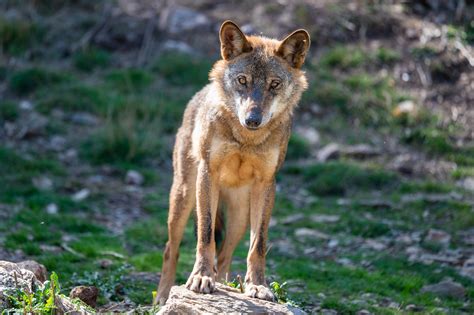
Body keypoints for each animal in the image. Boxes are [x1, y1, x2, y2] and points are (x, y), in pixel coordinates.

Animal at [156, 20, 312, 306]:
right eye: (242, 80)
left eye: (274, 84)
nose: (252, 119)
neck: (246, 139)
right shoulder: (208, 174)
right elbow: (205, 235)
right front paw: (200, 278)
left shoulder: (267, 183)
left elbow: (258, 245)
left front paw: (258, 286)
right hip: (184, 197)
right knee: (171, 249)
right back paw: (161, 297)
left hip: (240, 217)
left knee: (225, 256)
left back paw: (224, 285)